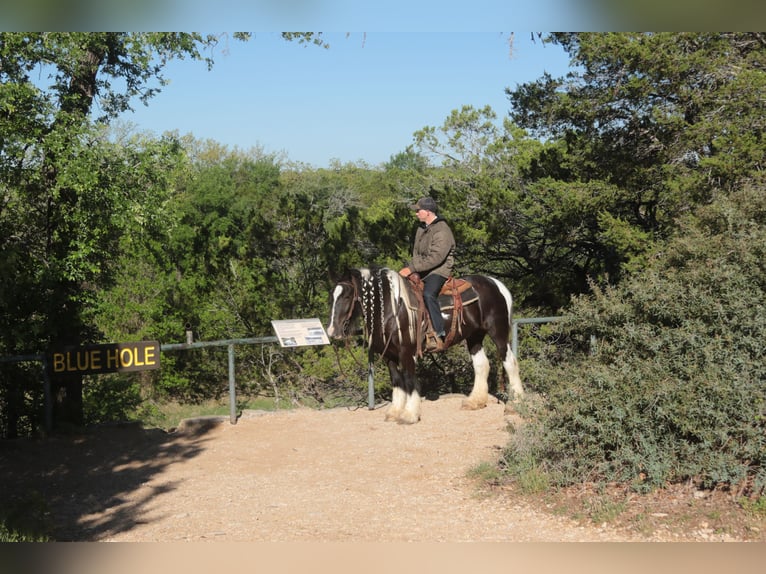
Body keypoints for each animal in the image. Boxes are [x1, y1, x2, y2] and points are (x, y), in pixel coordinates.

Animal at [327, 266, 523, 424]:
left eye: (347, 295)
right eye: (332, 296)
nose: (332, 331)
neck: (392, 308)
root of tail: (496, 284)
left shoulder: (407, 352)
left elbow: (409, 380)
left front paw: (409, 414)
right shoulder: (389, 355)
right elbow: (396, 381)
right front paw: (394, 412)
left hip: (498, 332)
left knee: (510, 362)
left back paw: (515, 405)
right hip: (474, 336)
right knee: (482, 364)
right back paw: (474, 402)